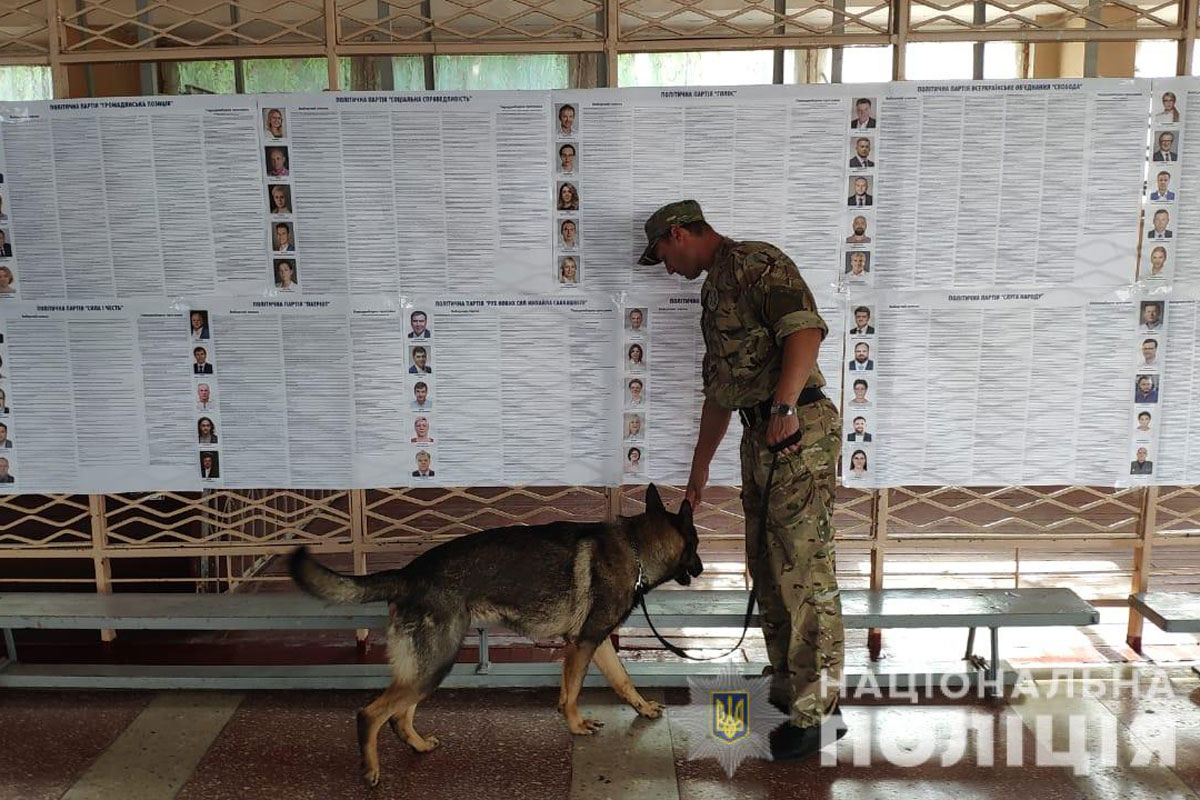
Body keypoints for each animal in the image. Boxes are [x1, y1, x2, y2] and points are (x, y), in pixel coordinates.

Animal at [291, 482, 700, 786]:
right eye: (696, 545)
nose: (700, 568)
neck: (637, 548)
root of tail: (407, 573)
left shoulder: (591, 644)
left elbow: (620, 680)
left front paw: (642, 707)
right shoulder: (585, 644)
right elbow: (574, 693)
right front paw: (576, 725)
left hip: (427, 668)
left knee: (399, 716)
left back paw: (419, 746)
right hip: (437, 663)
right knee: (371, 713)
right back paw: (372, 770)